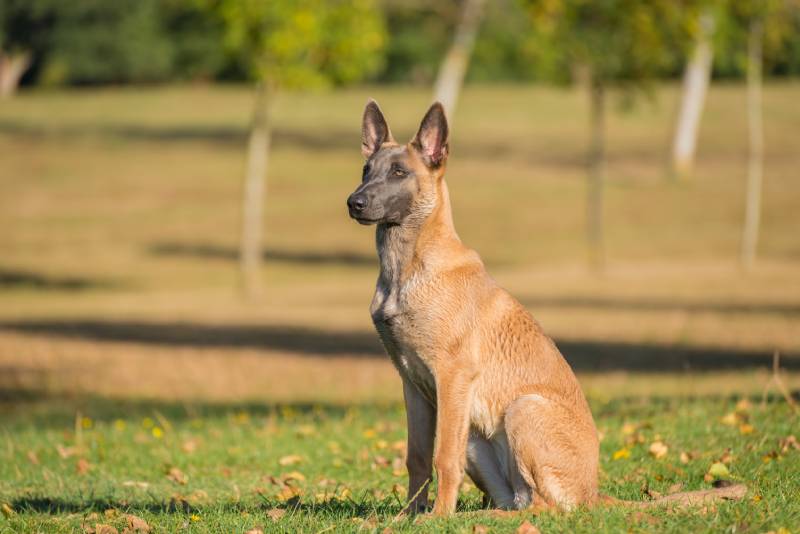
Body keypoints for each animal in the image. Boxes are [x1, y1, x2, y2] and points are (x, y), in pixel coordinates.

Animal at [346, 100, 748, 520]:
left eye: (399, 172)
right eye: (366, 170)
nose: (353, 202)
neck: (408, 267)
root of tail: (592, 492)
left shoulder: (452, 378)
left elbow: (443, 457)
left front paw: (438, 518)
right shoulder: (414, 386)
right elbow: (418, 457)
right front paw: (408, 517)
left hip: (521, 409)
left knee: (545, 506)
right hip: (477, 435)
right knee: (517, 501)